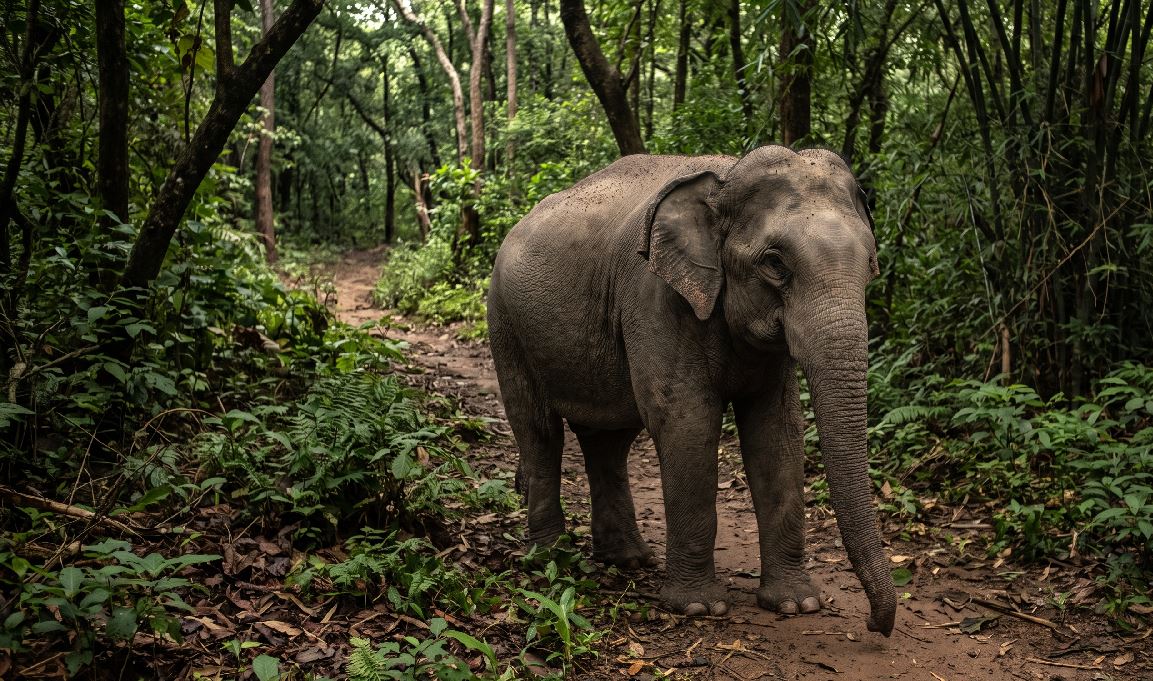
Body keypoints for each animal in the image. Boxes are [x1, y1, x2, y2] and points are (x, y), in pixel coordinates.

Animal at [486, 145, 895, 636]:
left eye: (870, 263)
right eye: (775, 263)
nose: (875, 625)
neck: (725, 178)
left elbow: (777, 432)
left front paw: (797, 604)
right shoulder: (655, 298)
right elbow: (686, 421)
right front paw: (700, 608)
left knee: (608, 440)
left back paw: (628, 560)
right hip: (505, 322)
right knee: (539, 431)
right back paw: (549, 558)